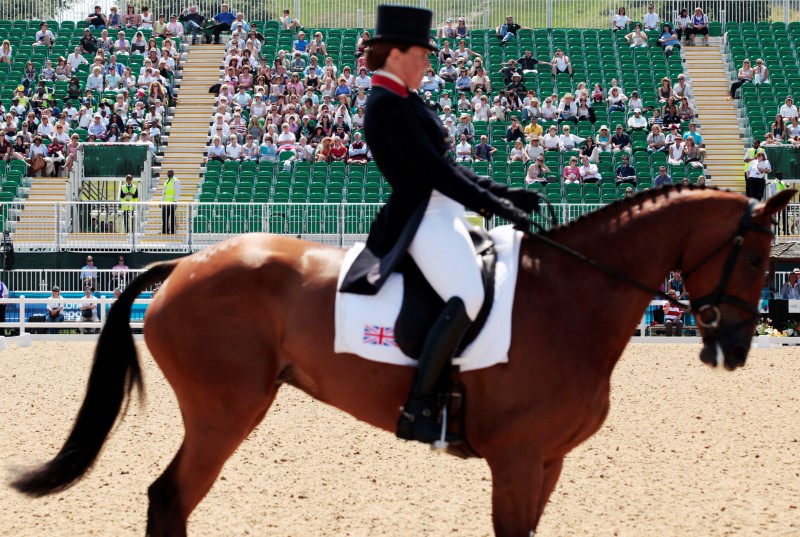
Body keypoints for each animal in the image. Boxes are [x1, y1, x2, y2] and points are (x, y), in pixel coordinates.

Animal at [10, 185, 792, 536]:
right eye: (759, 258)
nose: (736, 347)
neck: (572, 294)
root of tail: (182, 264)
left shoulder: (547, 460)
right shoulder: (516, 457)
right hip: (225, 411)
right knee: (169, 497)